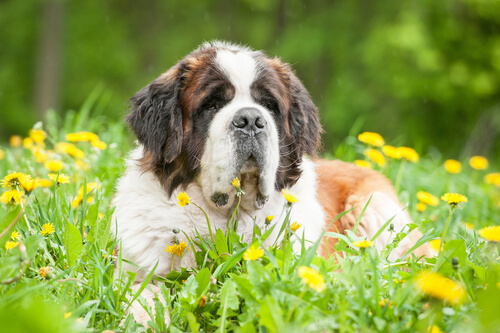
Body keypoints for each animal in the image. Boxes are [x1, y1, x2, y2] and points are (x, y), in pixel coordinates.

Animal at [112, 40, 430, 322]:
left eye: (269, 105)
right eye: (211, 105)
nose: (251, 120)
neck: (226, 218)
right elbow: (141, 295)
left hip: (374, 206)